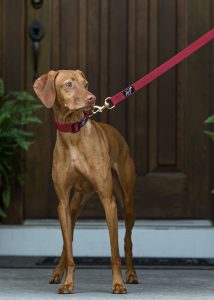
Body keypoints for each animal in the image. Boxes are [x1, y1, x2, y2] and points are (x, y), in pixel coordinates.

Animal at [32, 69, 138, 292]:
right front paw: (68, 283)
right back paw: (57, 273)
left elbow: (114, 251)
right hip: (74, 206)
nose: (92, 98)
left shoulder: (108, 202)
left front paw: (118, 283)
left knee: (127, 240)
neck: (73, 137)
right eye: (69, 84)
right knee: (67, 244)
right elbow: (69, 250)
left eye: (86, 83)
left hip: (127, 202)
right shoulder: (62, 203)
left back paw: (131, 274)